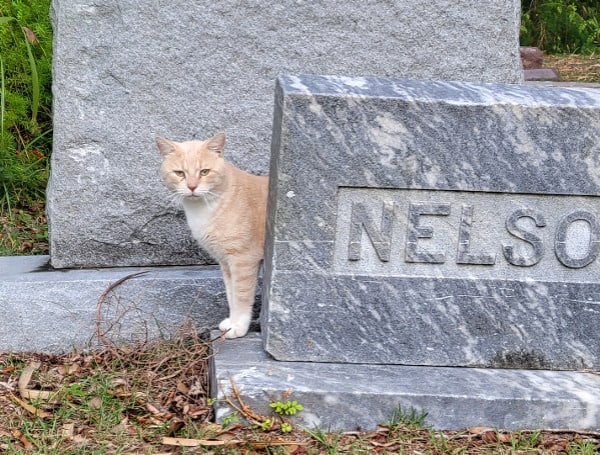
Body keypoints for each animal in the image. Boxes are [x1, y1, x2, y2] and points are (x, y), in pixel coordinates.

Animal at [156, 132, 268, 338]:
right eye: (180, 173)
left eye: (204, 172)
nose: (192, 186)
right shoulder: (225, 261)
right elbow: (231, 294)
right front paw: (231, 323)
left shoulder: (243, 260)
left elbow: (241, 295)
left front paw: (238, 326)